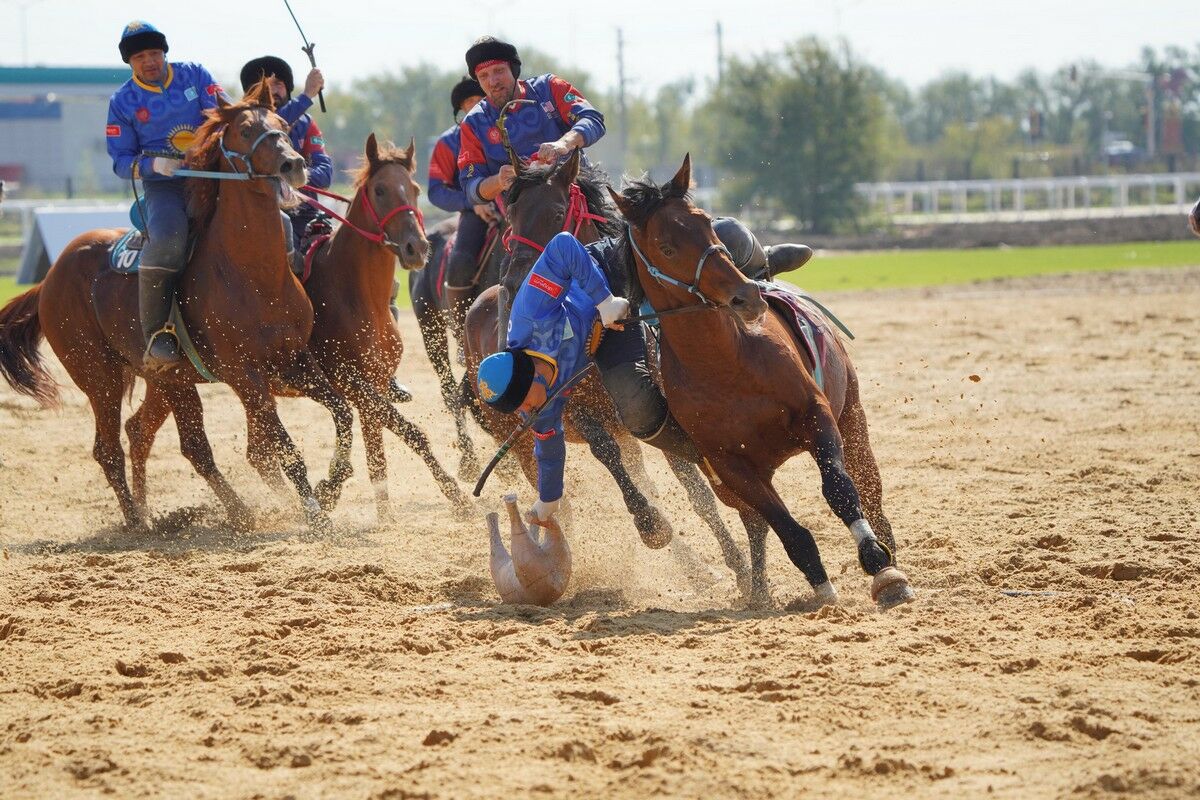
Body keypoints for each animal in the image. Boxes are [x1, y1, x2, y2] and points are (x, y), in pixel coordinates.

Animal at [0, 86, 352, 537]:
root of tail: (50, 279)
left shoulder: (294, 360)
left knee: (172, 441)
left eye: (284, 126)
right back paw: (143, 520)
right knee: (111, 449)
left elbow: (343, 414)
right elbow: (286, 448)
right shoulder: (246, 376)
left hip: (170, 381)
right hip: (99, 378)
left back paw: (194, 512)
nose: (294, 164)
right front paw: (315, 513)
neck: (250, 272)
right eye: (244, 129)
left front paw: (331, 487)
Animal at [124, 136, 470, 525]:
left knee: (157, 435)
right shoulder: (352, 382)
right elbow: (403, 433)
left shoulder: (375, 383)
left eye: (414, 189)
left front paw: (393, 509)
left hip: (182, 384)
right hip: (196, 384)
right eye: (380, 190)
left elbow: (382, 447)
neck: (356, 292)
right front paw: (333, 490)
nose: (417, 247)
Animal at [604, 154, 912, 606]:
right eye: (666, 246)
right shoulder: (731, 466)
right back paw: (759, 589)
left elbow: (839, 489)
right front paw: (820, 586)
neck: (728, 365)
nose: (747, 295)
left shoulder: (817, 416)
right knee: (756, 525)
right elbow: (788, 530)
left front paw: (879, 564)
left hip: (852, 417)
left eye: (707, 223)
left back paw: (890, 559)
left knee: (869, 491)